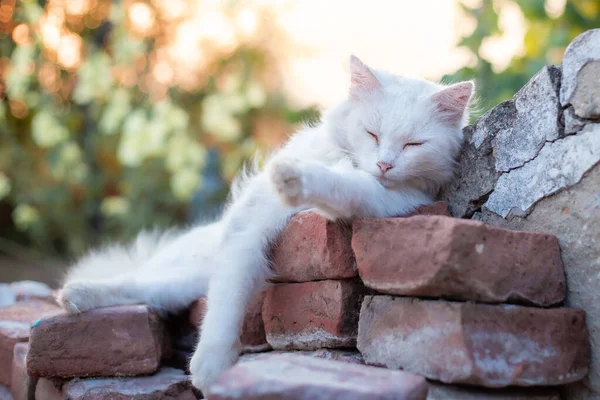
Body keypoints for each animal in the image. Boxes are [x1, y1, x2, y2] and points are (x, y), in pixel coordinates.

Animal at [56, 56, 474, 394]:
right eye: (372, 133)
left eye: (413, 145)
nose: (385, 164)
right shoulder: (248, 224)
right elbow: (227, 303)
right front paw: (210, 368)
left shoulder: (378, 198)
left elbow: (338, 185)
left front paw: (295, 179)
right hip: (181, 271)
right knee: (133, 282)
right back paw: (75, 295)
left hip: (180, 284)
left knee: (145, 293)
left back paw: (75, 298)